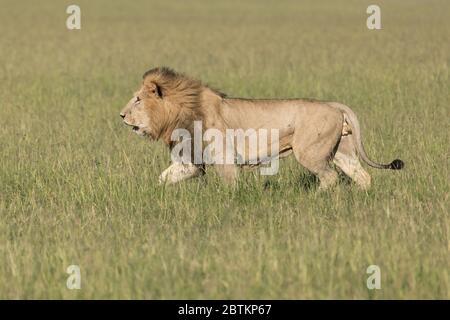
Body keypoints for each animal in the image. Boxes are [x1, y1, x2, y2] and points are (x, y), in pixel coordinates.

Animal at [120, 66, 404, 189]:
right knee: (362, 176)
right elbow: (163, 178)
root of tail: (335, 105)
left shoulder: (224, 158)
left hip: (310, 153)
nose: (121, 115)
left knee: (330, 177)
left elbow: (230, 185)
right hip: (341, 151)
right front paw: (157, 197)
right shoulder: (192, 162)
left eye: (137, 99)